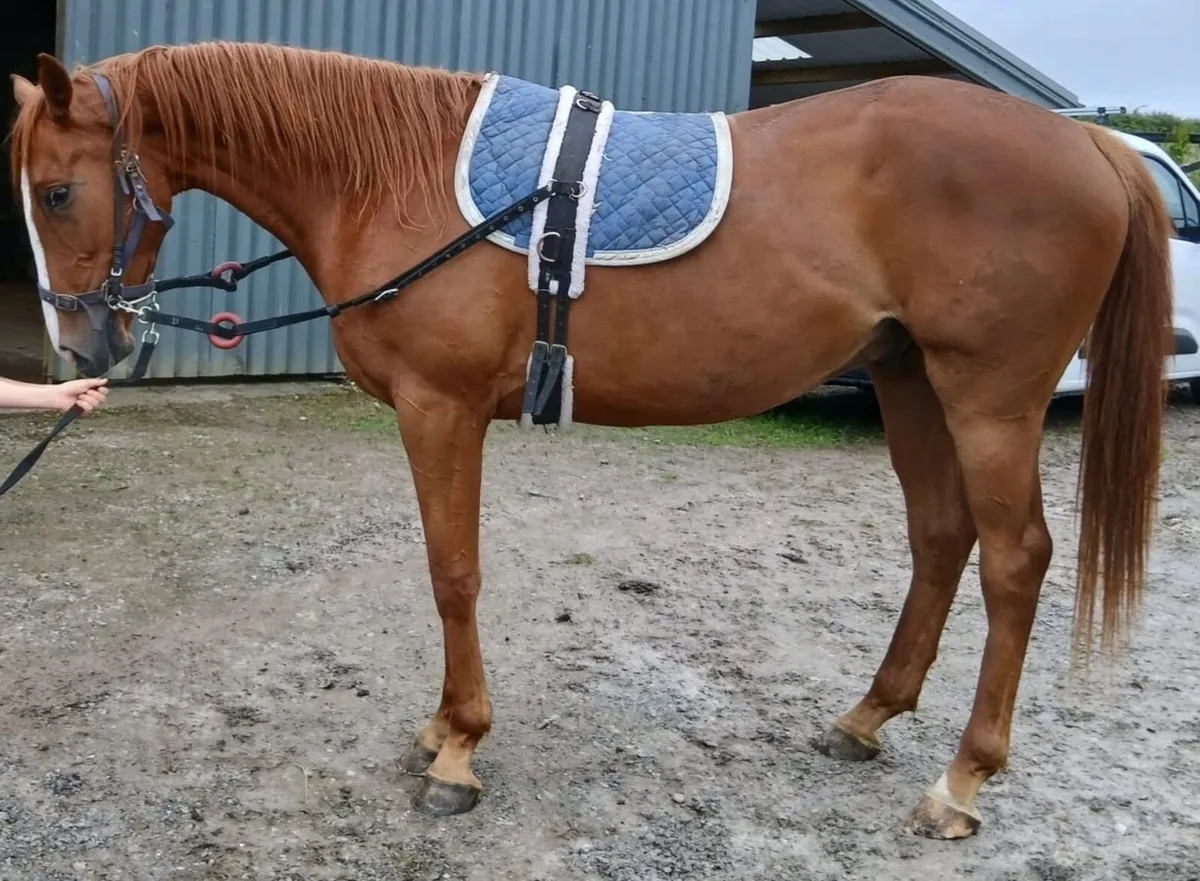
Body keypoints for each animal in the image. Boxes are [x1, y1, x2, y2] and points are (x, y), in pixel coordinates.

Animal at [8, 41, 1172, 839]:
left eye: (58, 189)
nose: (81, 345)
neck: (390, 177)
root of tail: (1090, 140)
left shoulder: (441, 410)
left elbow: (453, 573)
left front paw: (458, 749)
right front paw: (442, 729)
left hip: (989, 399)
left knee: (1015, 559)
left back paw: (961, 780)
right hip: (911, 379)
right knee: (940, 537)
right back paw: (865, 717)